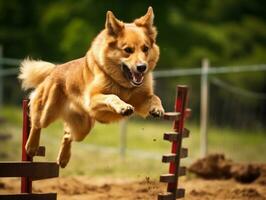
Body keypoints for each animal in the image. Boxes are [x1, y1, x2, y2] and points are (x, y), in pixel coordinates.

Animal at [18, 6, 163, 167]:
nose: (142, 67)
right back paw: (31, 147)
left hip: (83, 127)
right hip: (47, 112)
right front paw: (123, 107)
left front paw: (157, 109)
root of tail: (55, 69)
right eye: (128, 50)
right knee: (36, 121)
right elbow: (112, 96)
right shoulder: (93, 100)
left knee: (68, 133)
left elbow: (155, 97)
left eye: (145, 48)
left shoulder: (140, 101)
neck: (123, 85)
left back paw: (63, 158)